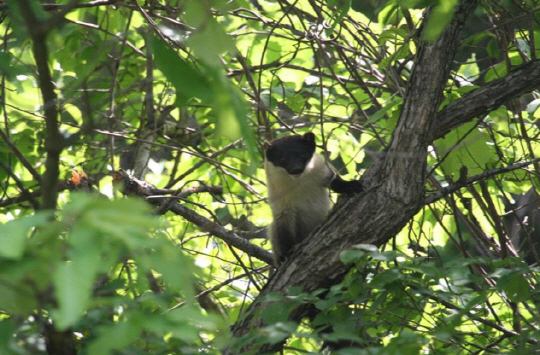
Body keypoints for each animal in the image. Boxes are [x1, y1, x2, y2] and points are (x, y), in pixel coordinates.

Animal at [262, 132, 362, 266]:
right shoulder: (281, 207)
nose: (296, 169)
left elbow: (337, 182)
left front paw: (353, 186)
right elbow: (284, 234)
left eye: (302, 154)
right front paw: (286, 255)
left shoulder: (325, 172)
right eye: (282, 159)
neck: (301, 188)